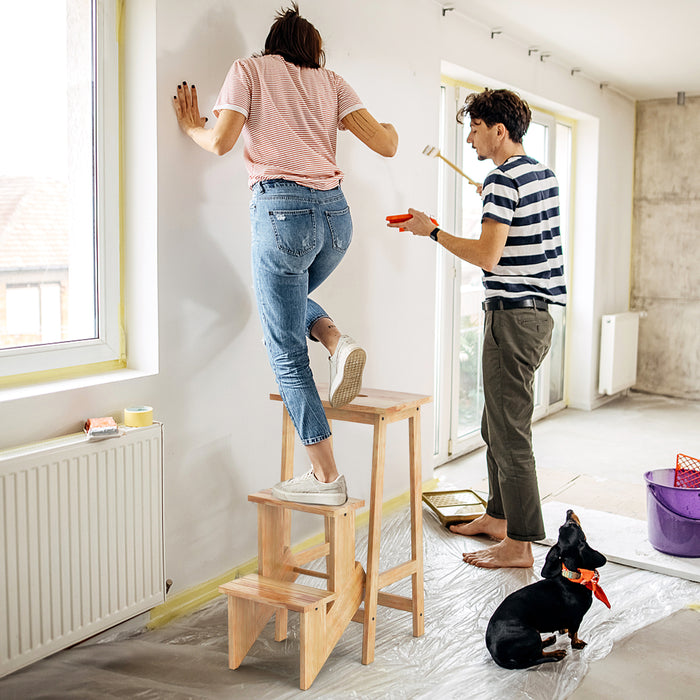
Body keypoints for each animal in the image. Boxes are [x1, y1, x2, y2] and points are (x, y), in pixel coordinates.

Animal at [486, 512, 608, 668]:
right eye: (573, 525)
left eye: (563, 527)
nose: (569, 511)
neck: (572, 577)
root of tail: (494, 653)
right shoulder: (577, 618)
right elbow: (574, 634)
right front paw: (577, 643)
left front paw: (563, 629)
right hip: (531, 635)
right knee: (537, 656)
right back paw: (556, 653)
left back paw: (549, 641)